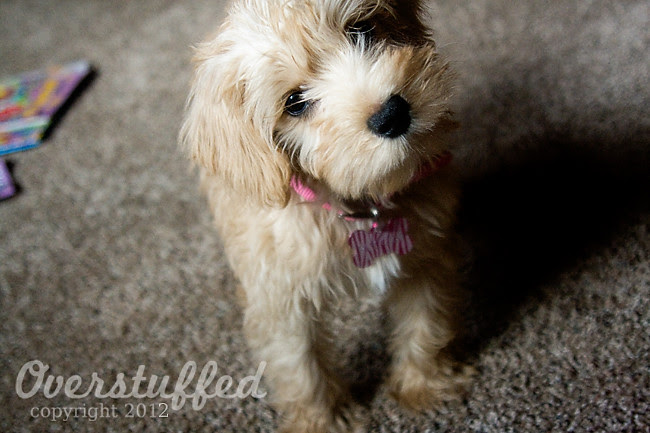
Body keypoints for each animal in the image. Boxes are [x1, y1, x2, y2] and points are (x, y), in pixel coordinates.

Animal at [180, 0, 472, 431]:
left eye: (361, 30)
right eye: (295, 102)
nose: (391, 114)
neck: (357, 204)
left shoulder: (424, 257)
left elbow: (425, 323)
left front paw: (425, 385)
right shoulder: (282, 300)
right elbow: (302, 368)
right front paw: (323, 421)